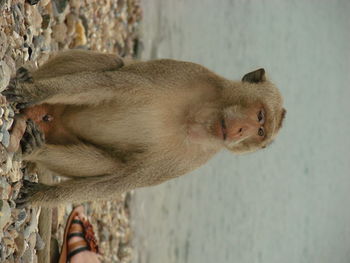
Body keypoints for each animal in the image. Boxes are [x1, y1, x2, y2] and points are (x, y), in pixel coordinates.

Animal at [2, 48, 284, 207]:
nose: (242, 131)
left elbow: (121, 179)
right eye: (260, 116)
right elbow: (111, 84)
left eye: (260, 132)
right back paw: (30, 81)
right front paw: (35, 91)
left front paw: (44, 196)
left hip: (56, 131)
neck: (198, 119)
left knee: (113, 165)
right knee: (114, 62)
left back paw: (36, 150)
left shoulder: (192, 158)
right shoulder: (186, 75)